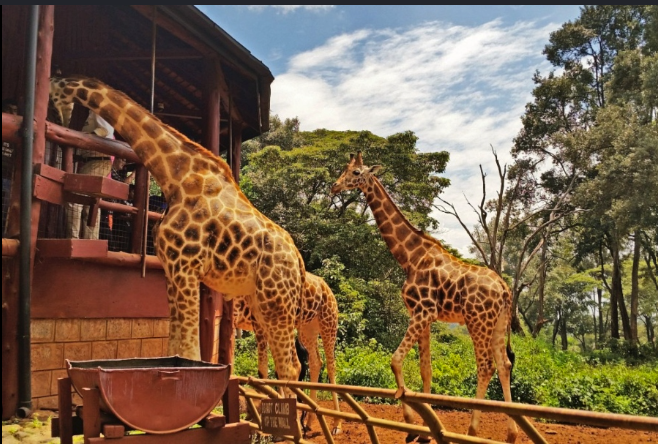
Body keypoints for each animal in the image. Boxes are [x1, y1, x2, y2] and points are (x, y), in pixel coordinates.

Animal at [49, 76, 307, 387]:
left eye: (54, 94)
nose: (61, 122)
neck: (175, 177)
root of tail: (299, 263)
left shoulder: (186, 268)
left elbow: (190, 351)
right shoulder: (171, 269)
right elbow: (175, 348)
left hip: (275, 301)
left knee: (291, 365)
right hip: (262, 301)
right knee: (288, 362)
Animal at [234, 271, 343, 435]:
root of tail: (328, 288)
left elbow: (264, 370)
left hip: (328, 322)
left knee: (331, 365)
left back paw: (336, 424)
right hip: (308, 329)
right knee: (316, 362)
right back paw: (309, 422)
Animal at [330, 152, 518, 443]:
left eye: (357, 172)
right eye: (345, 169)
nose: (335, 186)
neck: (409, 257)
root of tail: (504, 289)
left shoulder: (422, 311)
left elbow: (395, 360)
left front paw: (410, 425)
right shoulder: (424, 316)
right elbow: (425, 369)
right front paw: (425, 431)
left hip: (477, 320)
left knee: (486, 366)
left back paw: (472, 431)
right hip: (497, 323)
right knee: (504, 364)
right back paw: (511, 433)